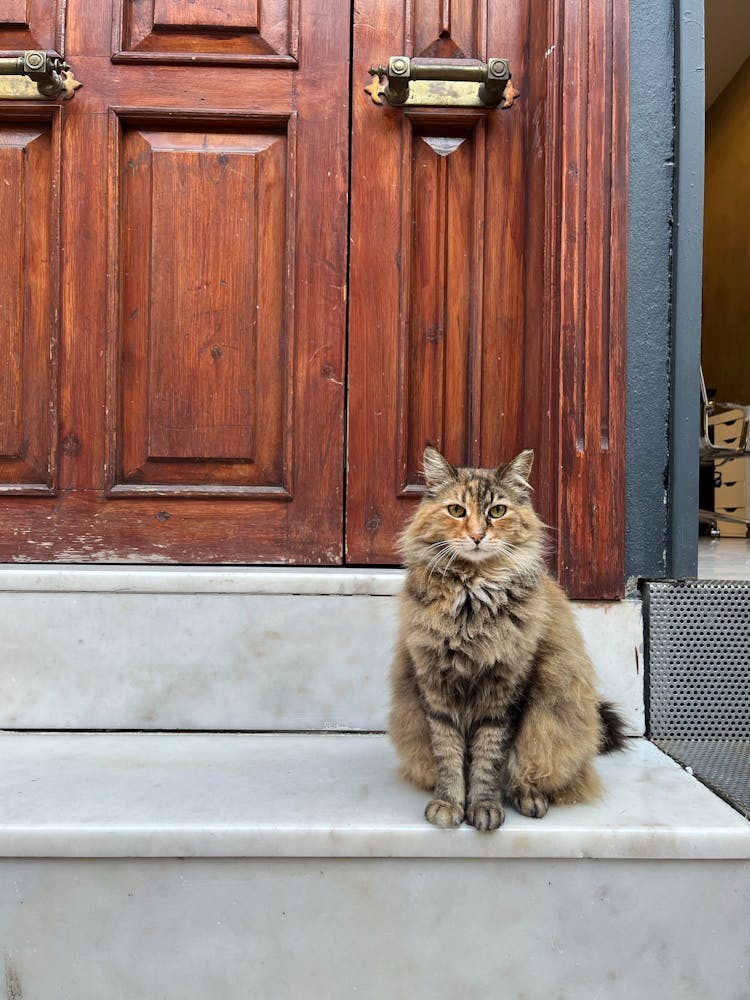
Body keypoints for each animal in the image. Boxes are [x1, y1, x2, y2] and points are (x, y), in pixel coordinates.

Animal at [390, 446, 632, 828]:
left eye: (497, 512)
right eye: (456, 511)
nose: (477, 535)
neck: (471, 600)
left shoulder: (505, 692)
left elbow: (489, 760)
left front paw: (484, 806)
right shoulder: (436, 689)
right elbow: (449, 757)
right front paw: (449, 804)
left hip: (550, 723)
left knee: (534, 772)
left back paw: (529, 797)